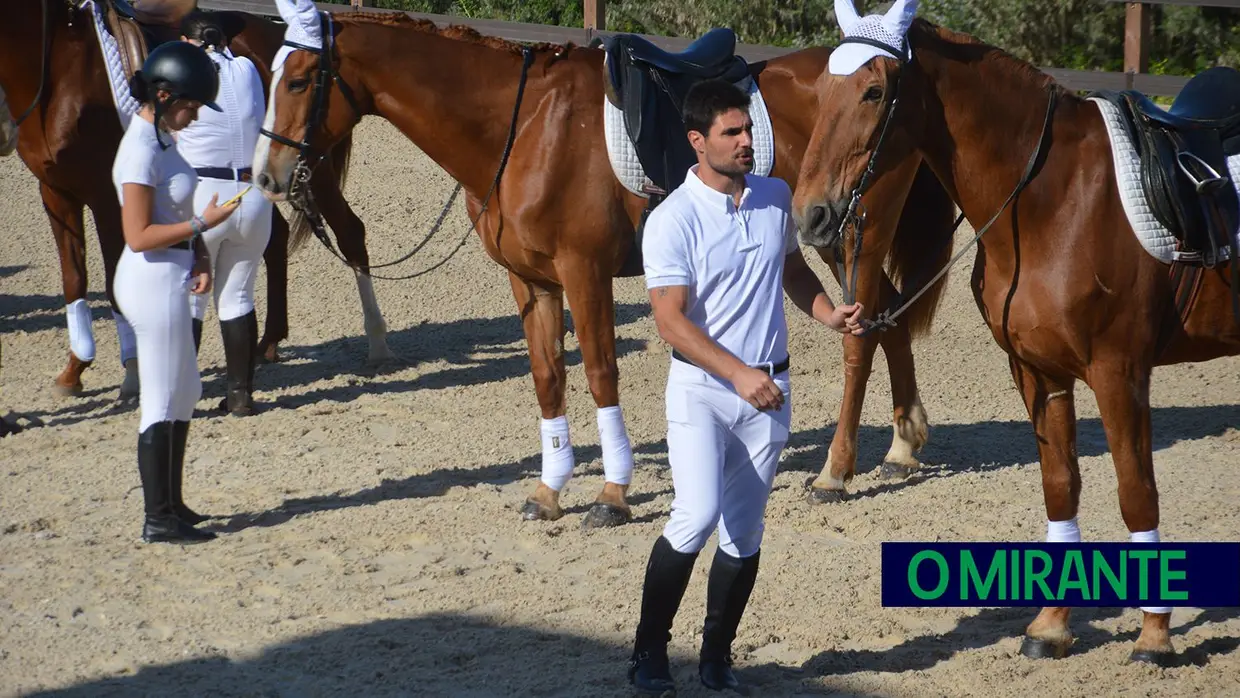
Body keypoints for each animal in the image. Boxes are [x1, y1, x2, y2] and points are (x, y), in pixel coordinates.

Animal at [0, 0, 391, 399]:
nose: (5, 134)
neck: (60, 68)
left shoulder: (107, 198)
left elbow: (112, 284)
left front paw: (133, 374)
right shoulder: (56, 193)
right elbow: (74, 280)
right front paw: (74, 371)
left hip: (306, 167)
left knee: (349, 232)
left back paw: (376, 344)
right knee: (275, 238)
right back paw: (268, 342)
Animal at [249, 9, 947, 525]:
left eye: (299, 80)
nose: (266, 175)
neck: (524, 127)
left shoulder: (583, 272)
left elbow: (600, 374)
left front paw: (612, 495)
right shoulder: (531, 280)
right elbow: (548, 377)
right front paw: (549, 491)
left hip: (850, 232)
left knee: (862, 335)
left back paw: (836, 472)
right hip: (827, 234)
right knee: (887, 316)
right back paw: (904, 445)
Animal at [793, 16, 1240, 664]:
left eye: (874, 92)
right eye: (822, 90)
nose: (811, 216)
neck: (1053, 198)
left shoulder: (1119, 372)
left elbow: (1137, 492)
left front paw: (1155, 637)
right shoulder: (1036, 372)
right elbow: (1061, 487)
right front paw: (1051, 627)